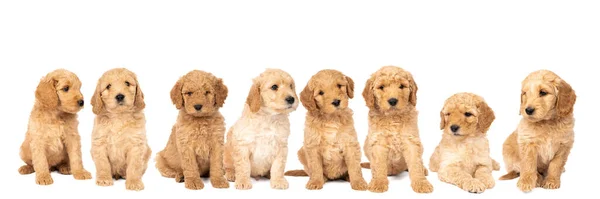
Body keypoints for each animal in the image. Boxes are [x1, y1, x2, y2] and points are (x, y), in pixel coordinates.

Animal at [360, 66, 432, 194]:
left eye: (402, 86)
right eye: (381, 87)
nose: (393, 101)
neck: (392, 117)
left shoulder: (411, 141)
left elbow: (416, 163)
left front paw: (421, 183)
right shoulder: (378, 142)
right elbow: (378, 165)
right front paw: (378, 182)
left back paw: (423, 169)